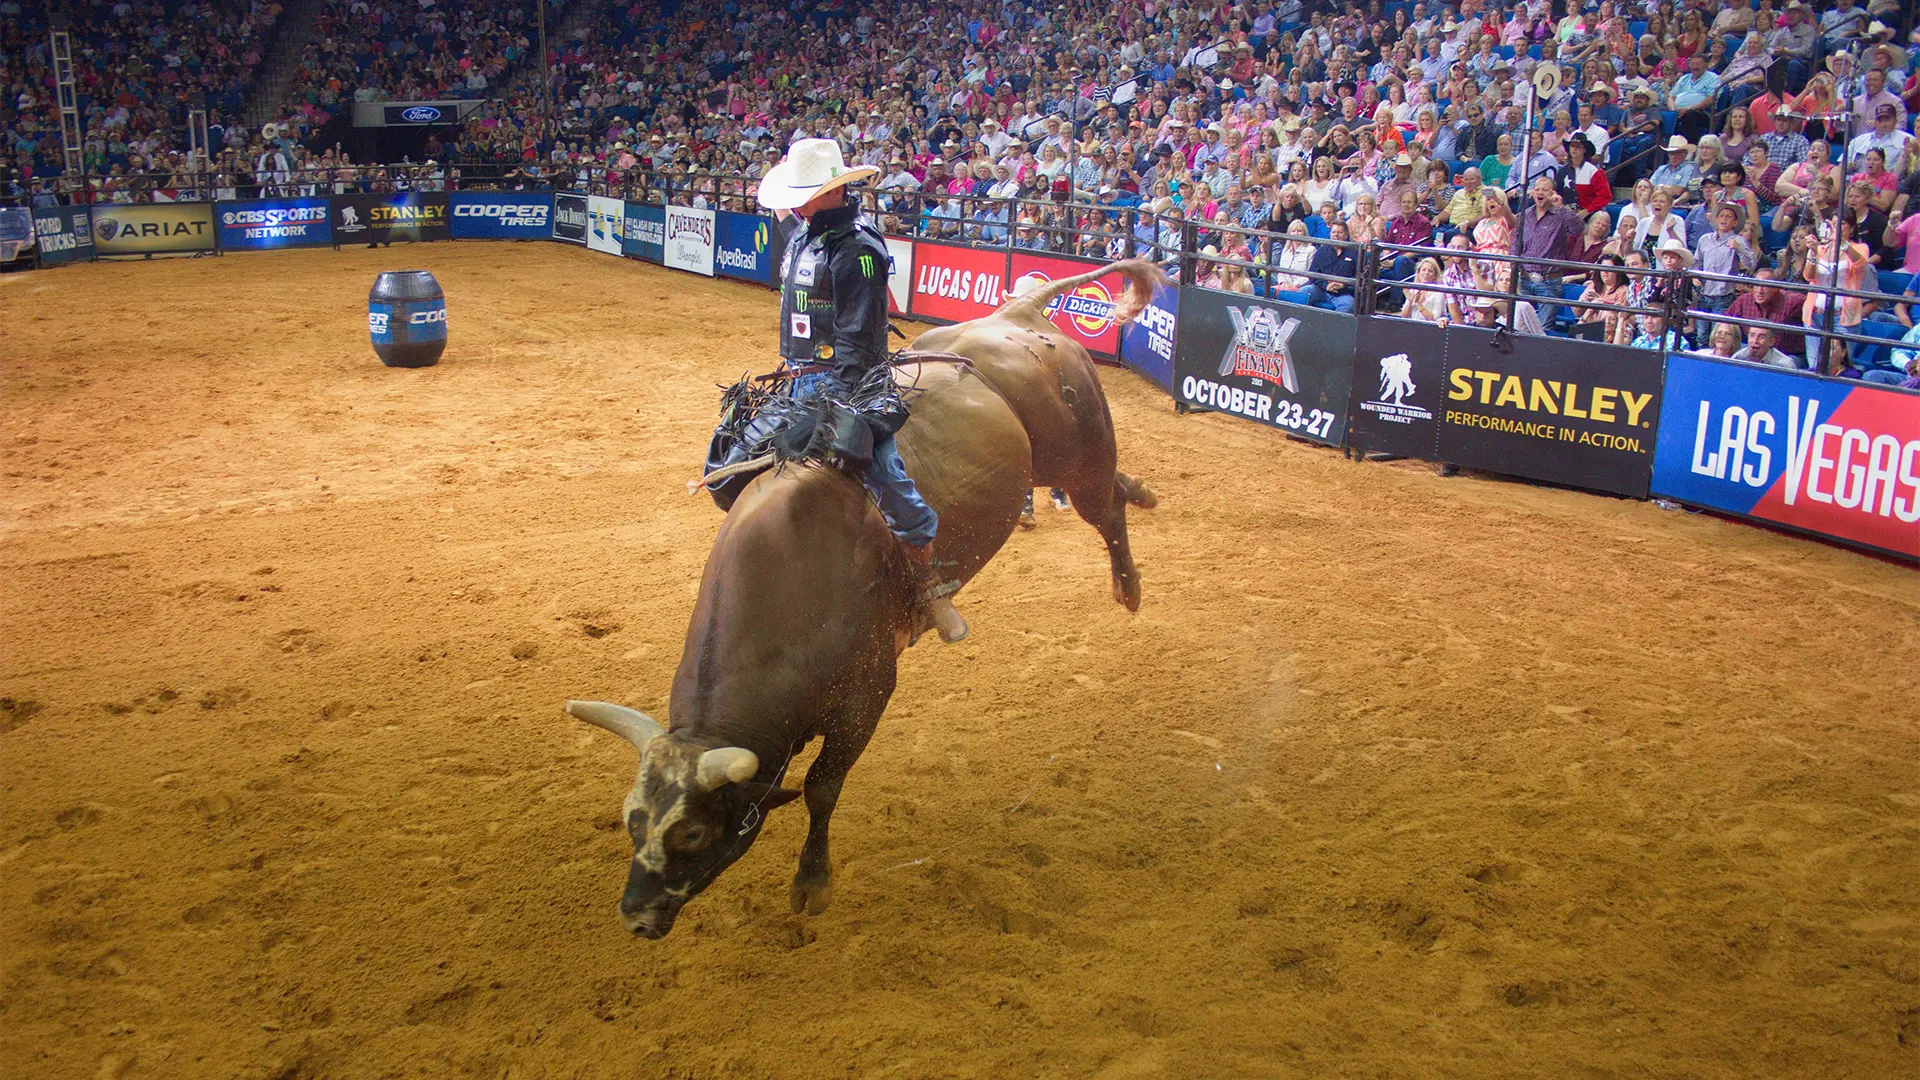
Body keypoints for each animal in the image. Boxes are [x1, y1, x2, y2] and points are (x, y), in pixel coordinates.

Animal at [568, 259, 1164, 938]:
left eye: (692, 832)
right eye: (631, 817)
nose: (636, 915)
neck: (792, 595)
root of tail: (1017, 314)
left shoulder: (868, 691)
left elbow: (822, 786)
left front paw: (812, 883)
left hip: (1078, 454)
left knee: (1104, 505)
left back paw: (1128, 585)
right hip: (1059, 464)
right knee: (1115, 488)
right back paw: (1144, 494)